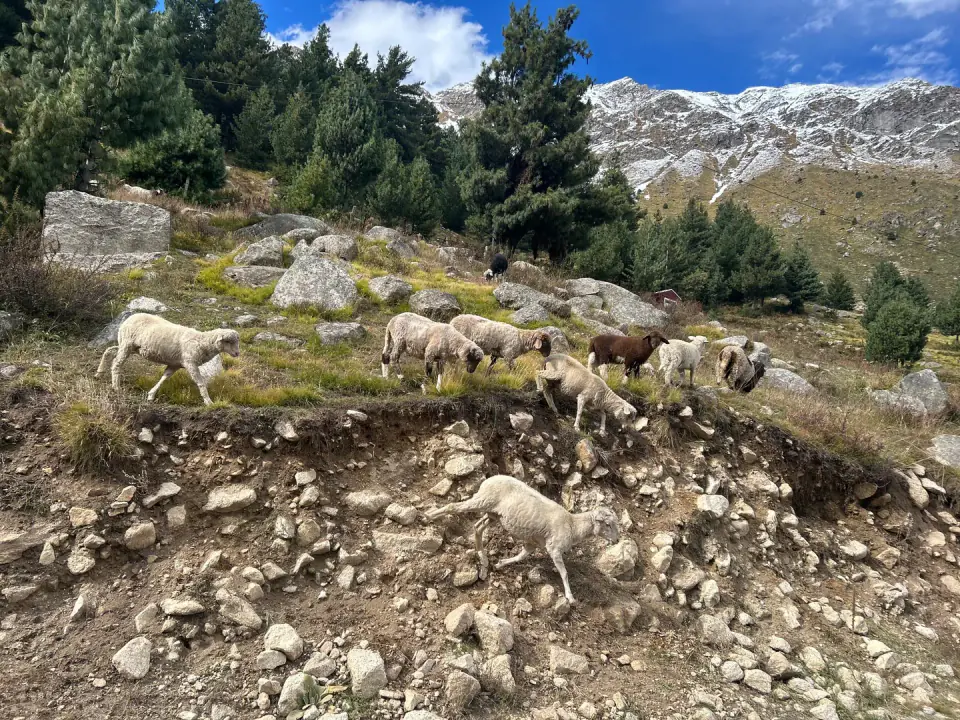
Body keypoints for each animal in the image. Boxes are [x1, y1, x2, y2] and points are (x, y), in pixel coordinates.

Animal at [96, 313, 240, 405]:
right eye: (228, 341)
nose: (237, 353)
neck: (202, 341)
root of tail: (128, 318)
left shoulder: (175, 364)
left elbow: (164, 377)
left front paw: (151, 395)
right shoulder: (190, 363)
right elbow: (201, 383)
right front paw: (208, 402)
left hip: (129, 346)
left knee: (109, 351)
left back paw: (99, 372)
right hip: (127, 344)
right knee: (116, 363)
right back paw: (116, 386)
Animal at [425, 474, 620, 603]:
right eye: (607, 524)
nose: (617, 541)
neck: (573, 526)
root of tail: (489, 479)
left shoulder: (532, 543)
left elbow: (521, 556)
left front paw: (501, 564)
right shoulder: (554, 548)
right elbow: (564, 573)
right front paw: (570, 597)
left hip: (494, 513)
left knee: (478, 527)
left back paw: (483, 556)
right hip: (484, 501)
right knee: (454, 507)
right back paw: (429, 515)